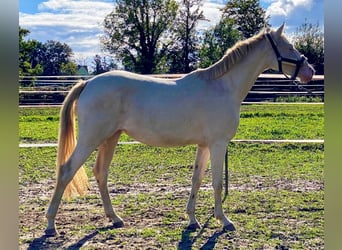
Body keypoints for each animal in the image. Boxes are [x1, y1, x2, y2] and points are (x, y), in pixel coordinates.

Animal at [44, 23, 314, 236]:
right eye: (289, 47)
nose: (309, 72)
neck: (223, 87)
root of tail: (88, 83)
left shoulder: (204, 145)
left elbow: (197, 179)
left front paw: (192, 220)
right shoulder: (218, 144)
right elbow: (216, 183)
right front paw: (224, 221)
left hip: (110, 138)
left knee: (101, 173)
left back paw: (115, 218)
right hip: (91, 139)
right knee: (66, 170)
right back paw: (50, 225)